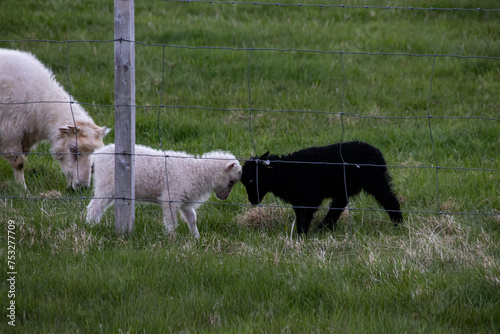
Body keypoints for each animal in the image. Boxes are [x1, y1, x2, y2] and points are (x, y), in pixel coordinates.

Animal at [87, 145, 243, 239]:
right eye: (231, 181)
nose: (224, 198)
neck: (197, 171)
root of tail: (96, 155)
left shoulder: (185, 200)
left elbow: (192, 218)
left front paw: (196, 237)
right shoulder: (171, 197)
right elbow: (171, 220)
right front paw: (172, 237)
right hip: (106, 184)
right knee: (94, 207)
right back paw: (90, 226)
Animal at [241, 141, 402, 235]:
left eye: (251, 180)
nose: (252, 201)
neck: (286, 171)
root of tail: (377, 153)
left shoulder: (311, 197)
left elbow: (304, 217)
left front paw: (302, 236)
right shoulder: (298, 199)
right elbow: (300, 216)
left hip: (375, 180)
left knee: (390, 200)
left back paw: (398, 224)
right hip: (347, 186)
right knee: (338, 205)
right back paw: (324, 227)